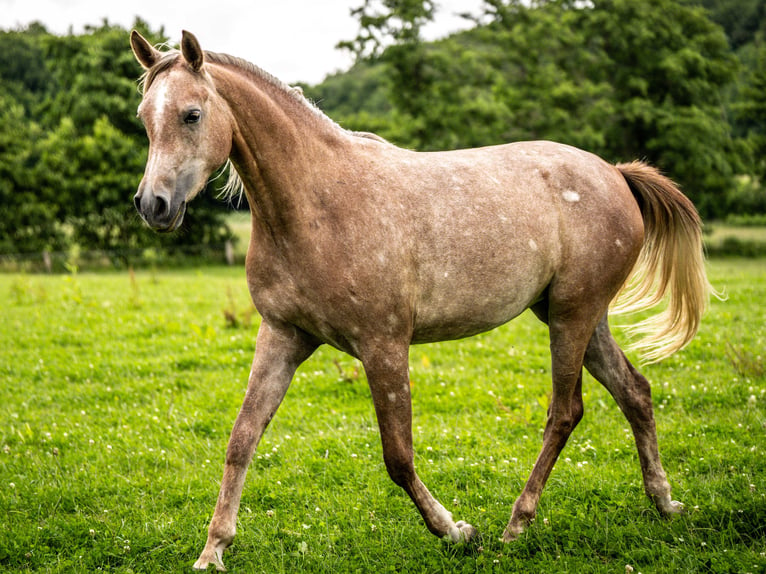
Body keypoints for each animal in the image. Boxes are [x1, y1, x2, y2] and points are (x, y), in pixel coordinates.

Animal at [129, 28, 712, 572]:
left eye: (191, 115)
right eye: (143, 118)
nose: (153, 205)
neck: (316, 204)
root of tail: (615, 173)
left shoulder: (383, 345)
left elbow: (398, 456)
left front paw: (456, 530)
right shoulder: (283, 337)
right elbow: (242, 438)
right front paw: (213, 550)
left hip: (573, 315)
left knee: (565, 412)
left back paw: (516, 525)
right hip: (577, 316)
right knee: (635, 392)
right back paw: (664, 504)